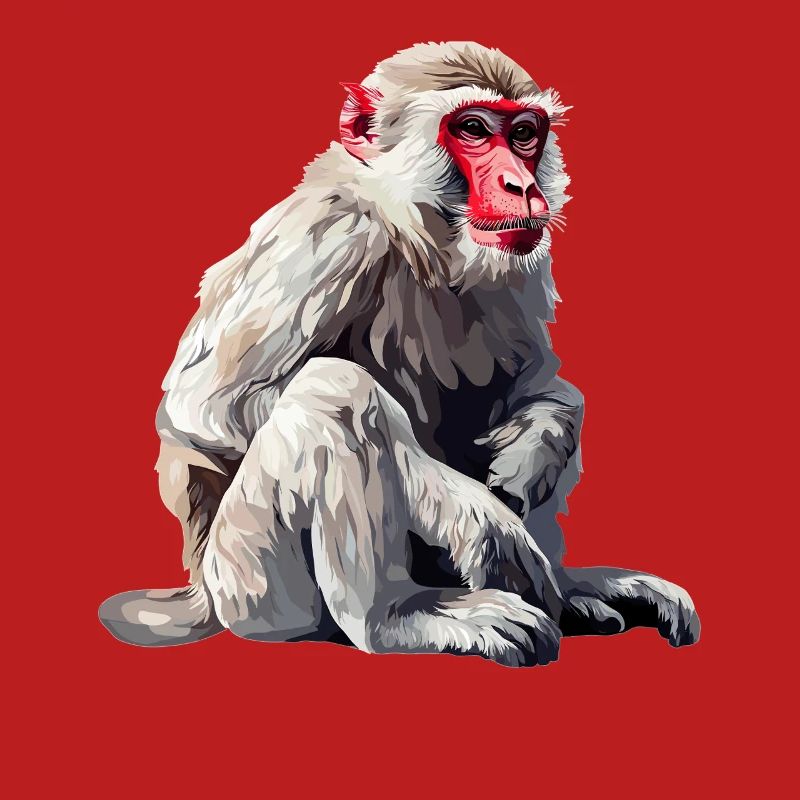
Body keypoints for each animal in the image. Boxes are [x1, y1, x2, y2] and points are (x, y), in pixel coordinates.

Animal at [99, 42, 700, 666]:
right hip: (251, 585)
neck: (418, 232)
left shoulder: (521, 260)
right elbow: (207, 411)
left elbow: (539, 383)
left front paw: (536, 445)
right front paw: (469, 510)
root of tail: (202, 594)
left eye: (524, 134)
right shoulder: (331, 235)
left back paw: (570, 590)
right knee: (333, 393)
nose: (520, 185)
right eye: (473, 129)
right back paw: (398, 617)